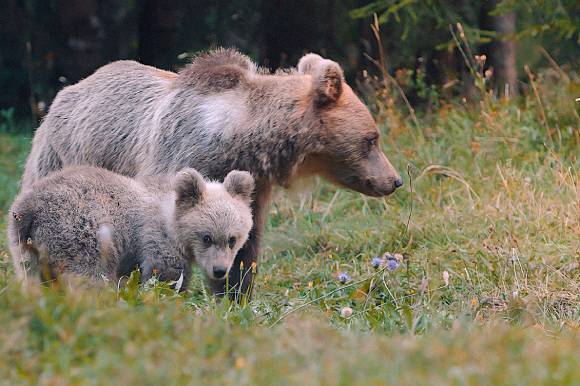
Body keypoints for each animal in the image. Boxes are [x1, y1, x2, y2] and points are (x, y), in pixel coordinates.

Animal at [19, 47, 404, 298]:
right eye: (372, 138)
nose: (395, 180)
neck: (241, 140)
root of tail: (67, 91)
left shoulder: (253, 188)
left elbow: (245, 245)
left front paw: (235, 293)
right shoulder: (177, 158)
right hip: (60, 155)